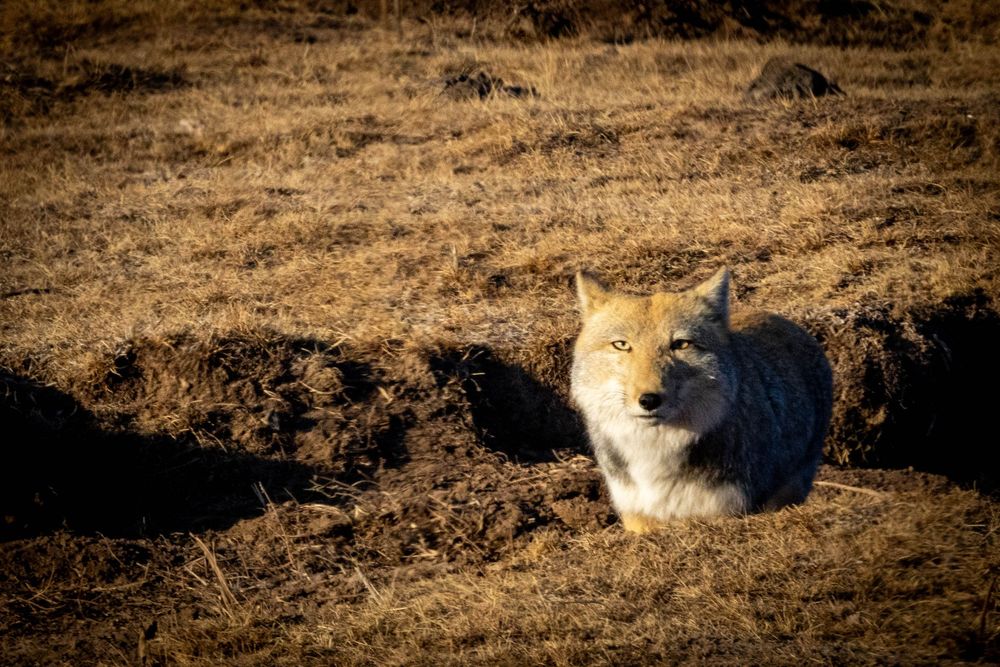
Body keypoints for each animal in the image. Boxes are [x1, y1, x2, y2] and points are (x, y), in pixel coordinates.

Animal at [571, 268, 833, 533]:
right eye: (621, 345)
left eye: (680, 344)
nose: (649, 400)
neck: (653, 457)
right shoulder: (636, 516)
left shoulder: (720, 514)